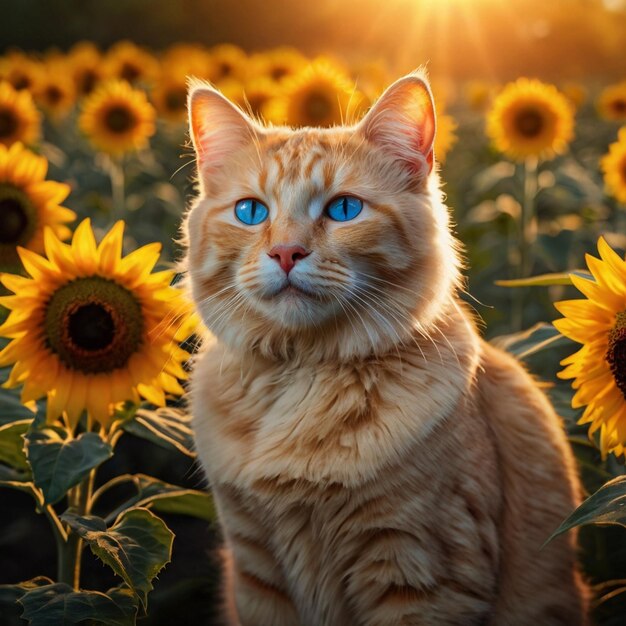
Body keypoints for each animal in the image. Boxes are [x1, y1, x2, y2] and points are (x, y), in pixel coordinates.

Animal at [182, 70, 584, 620]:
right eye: (250, 212)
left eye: (344, 208)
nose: (285, 252)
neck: (300, 373)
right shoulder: (256, 569)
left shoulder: (422, 566)